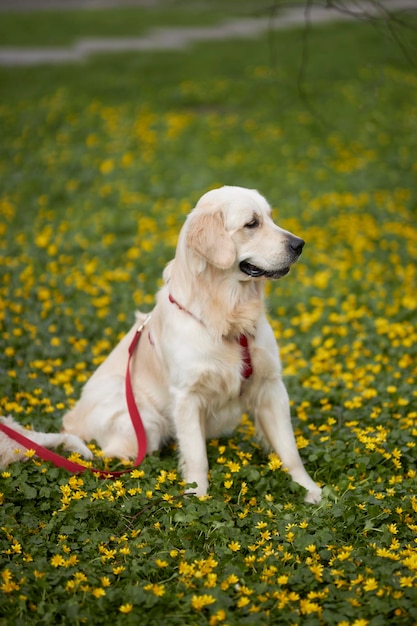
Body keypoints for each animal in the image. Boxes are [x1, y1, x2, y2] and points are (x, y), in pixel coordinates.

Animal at [61, 184, 320, 502]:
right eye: (252, 224)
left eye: (271, 217)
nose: (300, 244)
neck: (229, 316)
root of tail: (73, 420)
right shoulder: (187, 396)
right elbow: (197, 457)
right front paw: (197, 498)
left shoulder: (271, 386)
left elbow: (290, 450)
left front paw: (310, 491)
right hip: (145, 419)